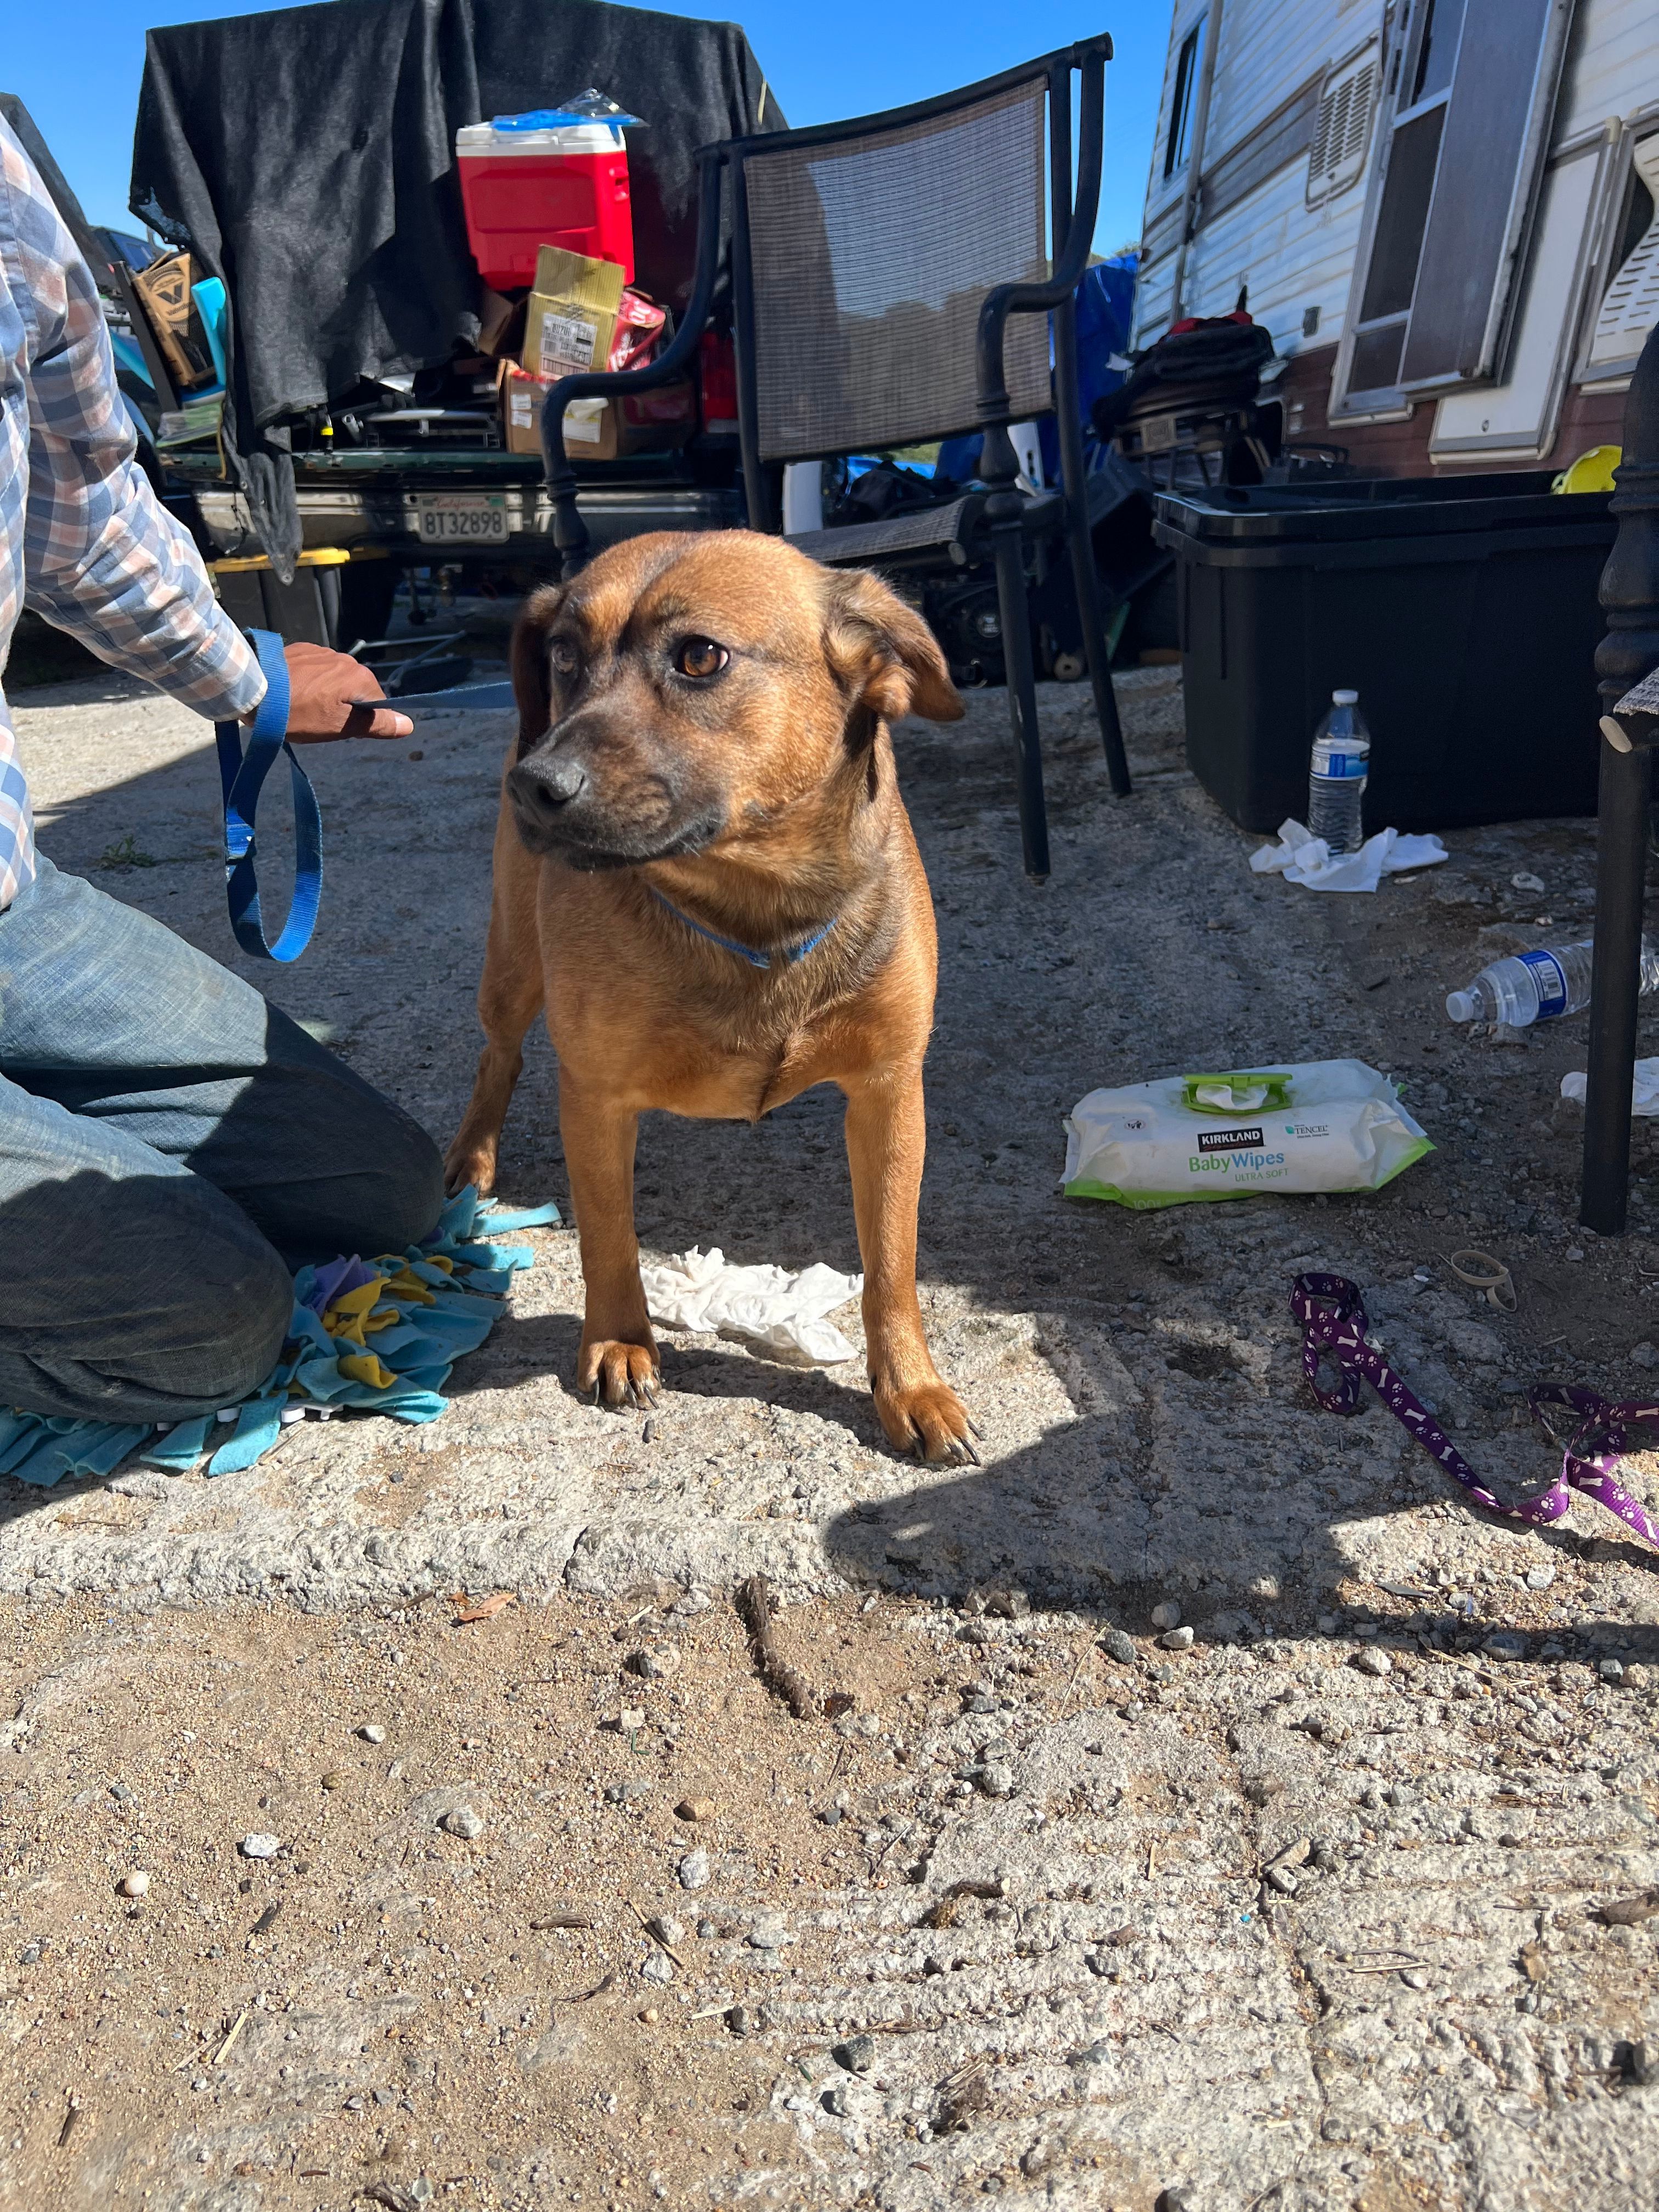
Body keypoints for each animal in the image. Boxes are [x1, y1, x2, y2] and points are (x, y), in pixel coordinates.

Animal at [449, 531, 982, 1469]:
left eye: (700, 657)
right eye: (563, 655)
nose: (536, 784)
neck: (750, 907)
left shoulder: (890, 1091)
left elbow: (891, 1263)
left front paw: (910, 1387)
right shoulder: (594, 1096)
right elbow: (608, 1236)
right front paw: (620, 1340)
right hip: (512, 972)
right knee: (498, 1057)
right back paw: (472, 1160)